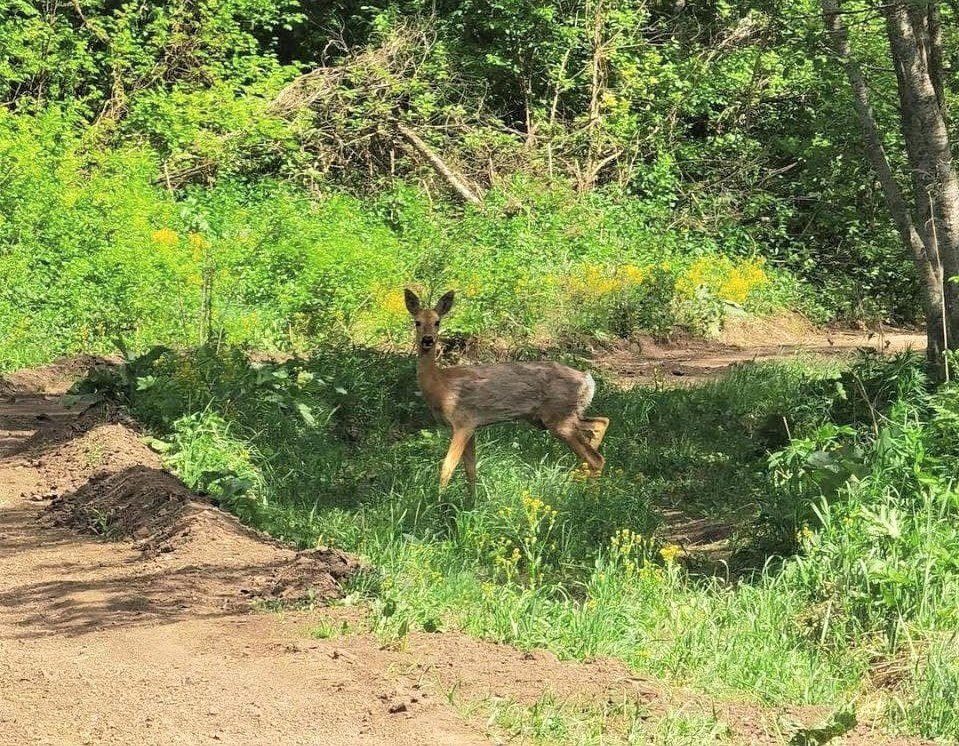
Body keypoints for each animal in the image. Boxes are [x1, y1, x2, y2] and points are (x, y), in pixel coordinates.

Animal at [404, 290, 612, 488]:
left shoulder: (463, 421)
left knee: (596, 458)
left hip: (560, 416)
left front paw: (440, 499)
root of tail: (587, 379)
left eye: (437, 322)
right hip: (556, 416)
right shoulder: (471, 427)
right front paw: (471, 500)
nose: (428, 339)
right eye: (417, 322)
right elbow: (471, 471)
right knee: (600, 423)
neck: (441, 385)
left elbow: (447, 468)